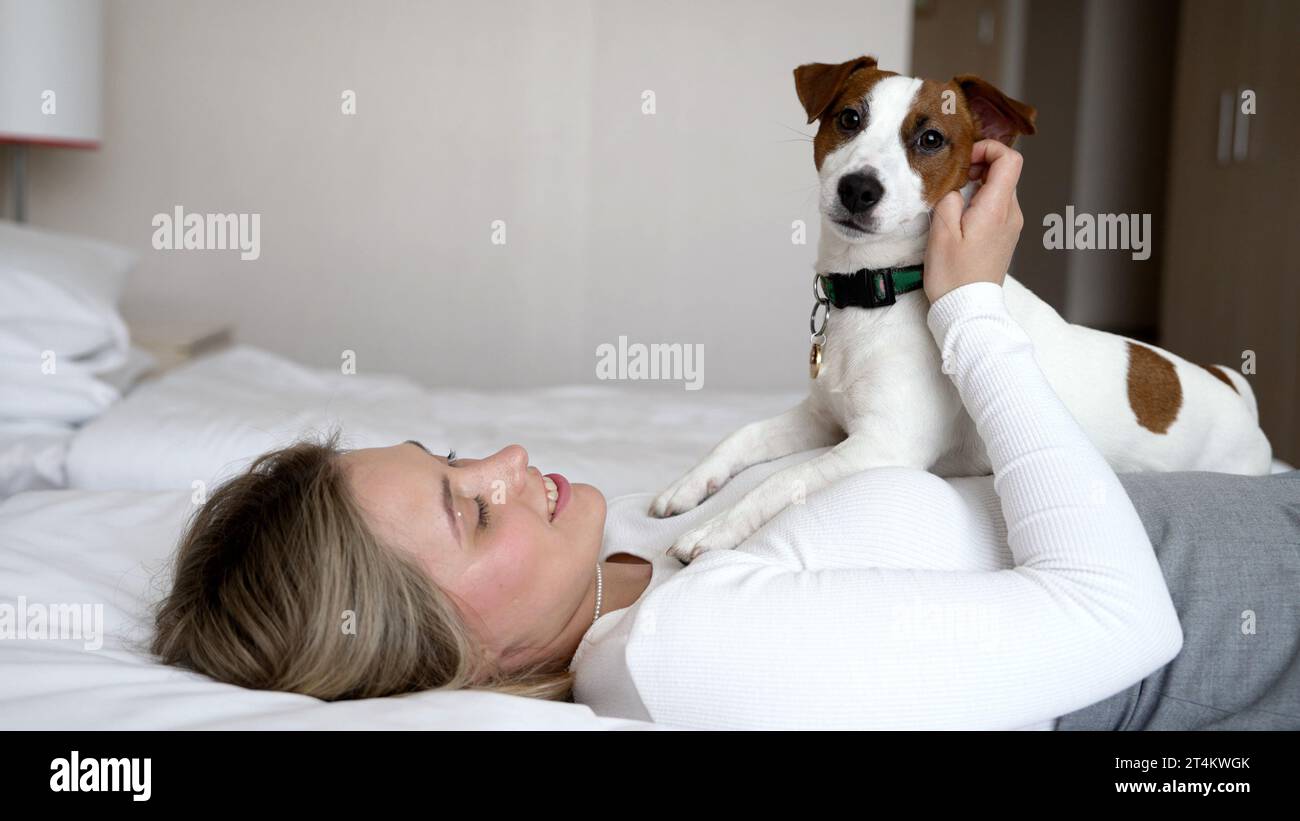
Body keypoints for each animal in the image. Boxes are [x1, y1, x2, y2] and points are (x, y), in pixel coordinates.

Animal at [650, 54, 1268, 561]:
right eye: (849, 119)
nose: (858, 189)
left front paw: (714, 529)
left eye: (930, 139)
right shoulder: (823, 419)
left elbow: (778, 482)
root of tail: (1232, 386)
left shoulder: (881, 446)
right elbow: (741, 437)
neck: (880, 293)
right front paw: (686, 486)